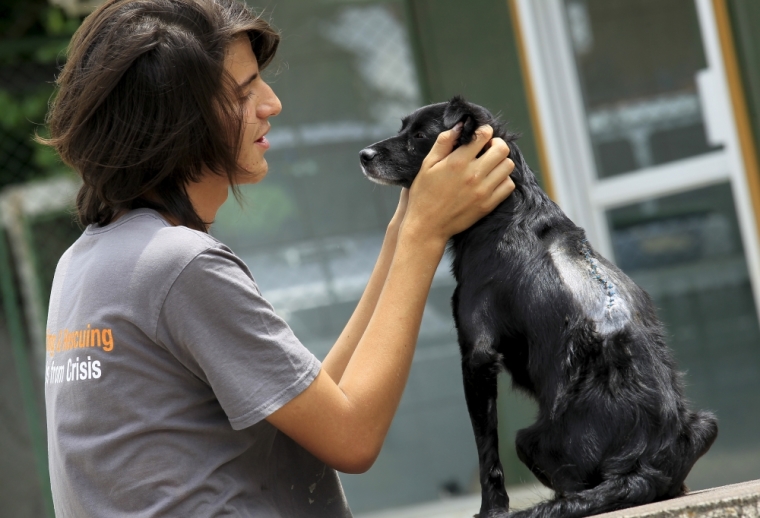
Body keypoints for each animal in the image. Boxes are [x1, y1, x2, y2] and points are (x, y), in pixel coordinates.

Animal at [360, 97, 716, 518]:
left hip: (528, 440)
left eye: (419, 136)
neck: (506, 209)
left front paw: (490, 510)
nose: (363, 155)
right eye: (402, 128)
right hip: (706, 423)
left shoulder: (476, 355)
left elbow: (487, 453)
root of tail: (640, 465)